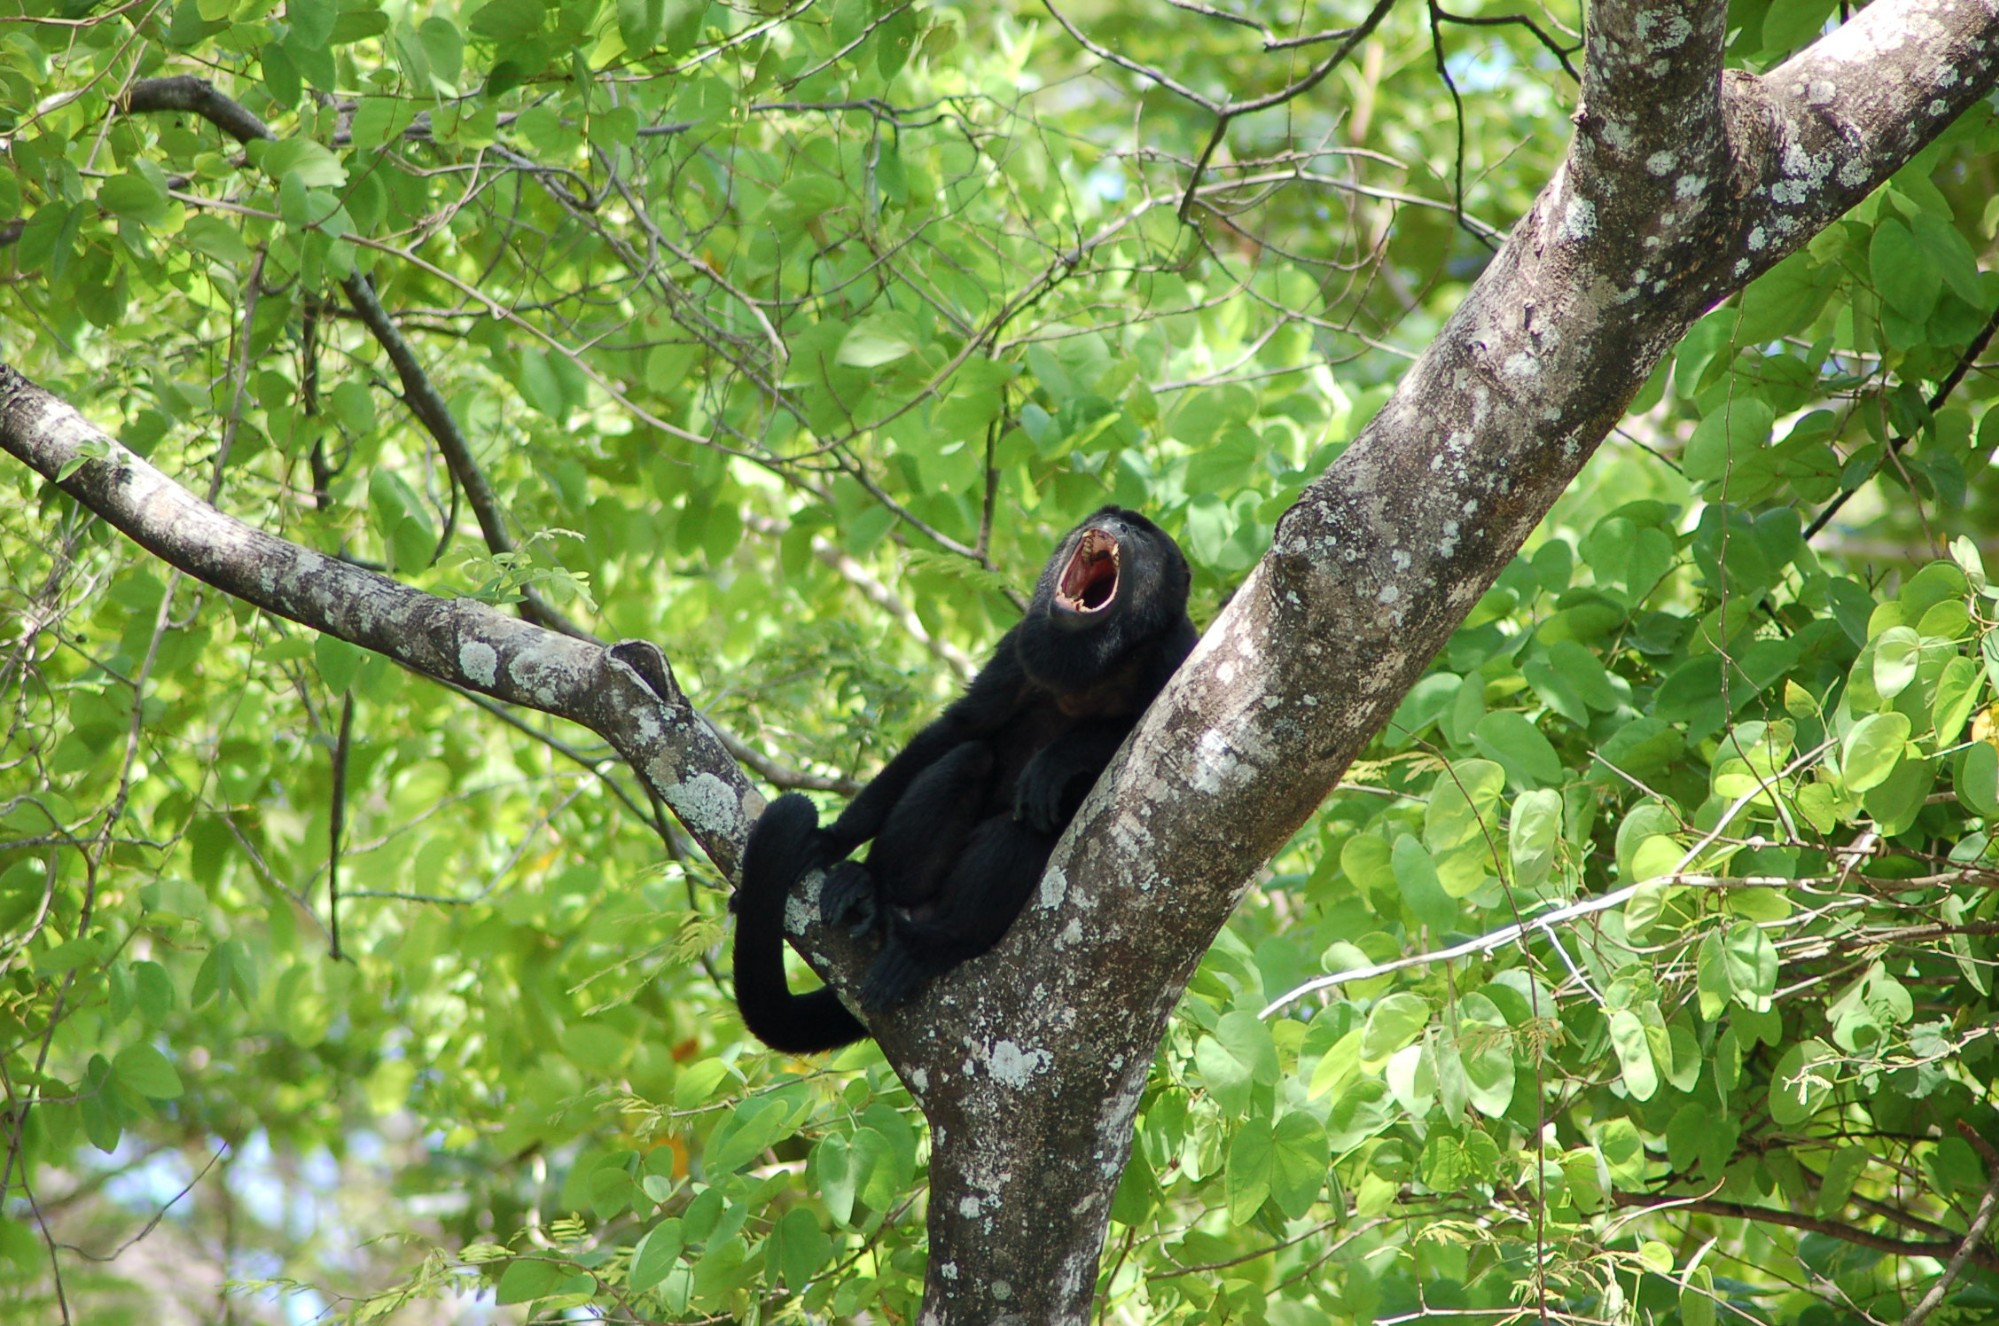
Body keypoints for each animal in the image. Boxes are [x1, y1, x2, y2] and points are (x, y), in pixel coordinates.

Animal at [739, 508, 1191, 1056]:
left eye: (1142, 535)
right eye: (1107, 517)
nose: (1115, 526)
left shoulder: (1177, 650)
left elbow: (1148, 730)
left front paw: (1059, 758)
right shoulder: (1017, 648)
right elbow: (961, 728)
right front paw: (830, 839)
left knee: (1022, 830)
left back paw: (938, 946)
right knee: (967, 760)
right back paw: (873, 889)